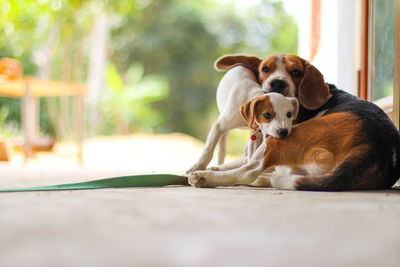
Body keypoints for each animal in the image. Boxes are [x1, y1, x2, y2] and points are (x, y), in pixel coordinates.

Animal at [189, 54, 400, 191]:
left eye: (296, 72)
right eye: (265, 70)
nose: (277, 83)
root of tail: (375, 147)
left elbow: (244, 165)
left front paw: (205, 169)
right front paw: (217, 165)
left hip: (279, 141)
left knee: (248, 172)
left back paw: (204, 177)